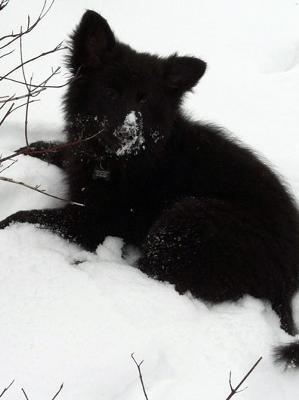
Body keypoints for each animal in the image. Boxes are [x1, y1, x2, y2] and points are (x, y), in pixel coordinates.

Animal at [1, 10, 299, 368]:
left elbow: (22, 215)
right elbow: (65, 153)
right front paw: (33, 148)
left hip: (188, 218)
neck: (120, 159)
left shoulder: (92, 221)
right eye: (110, 92)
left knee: (153, 275)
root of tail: (287, 281)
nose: (128, 133)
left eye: (144, 99)